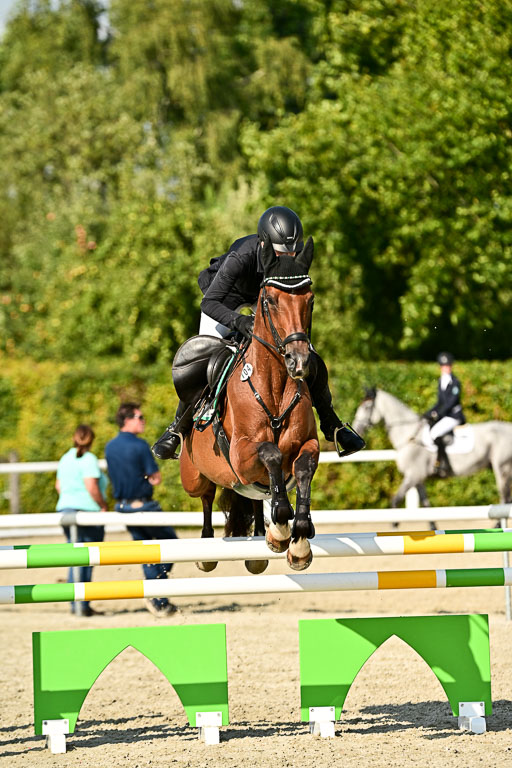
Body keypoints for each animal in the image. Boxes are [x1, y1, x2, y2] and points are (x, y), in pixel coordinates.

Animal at [178, 244, 319, 572]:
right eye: (271, 300)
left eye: (310, 299)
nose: (299, 362)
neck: (276, 387)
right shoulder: (241, 455)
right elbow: (271, 452)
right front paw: (280, 527)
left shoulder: (309, 443)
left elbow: (302, 469)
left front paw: (299, 541)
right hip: (193, 476)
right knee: (206, 496)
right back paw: (206, 550)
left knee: (255, 496)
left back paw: (257, 542)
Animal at [352, 388, 512, 508]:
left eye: (366, 407)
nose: (357, 429)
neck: (409, 434)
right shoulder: (418, 479)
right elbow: (427, 508)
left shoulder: (413, 475)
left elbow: (395, 502)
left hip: (502, 469)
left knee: (504, 500)